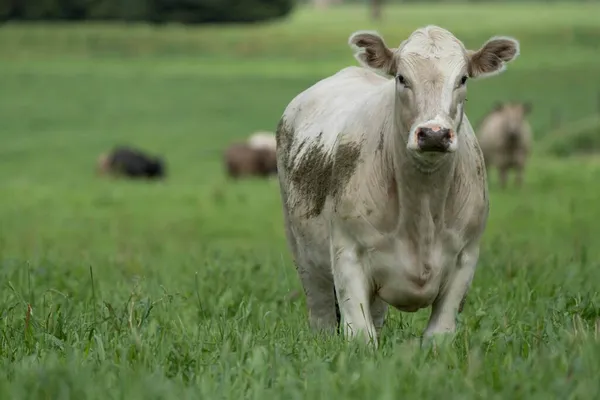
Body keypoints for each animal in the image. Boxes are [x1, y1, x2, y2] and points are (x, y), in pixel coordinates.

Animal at [274, 25, 516, 346]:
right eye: (402, 78)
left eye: (463, 78)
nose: (434, 134)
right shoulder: (348, 255)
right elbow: (360, 337)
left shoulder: (465, 258)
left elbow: (438, 336)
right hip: (305, 258)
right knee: (322, 315)